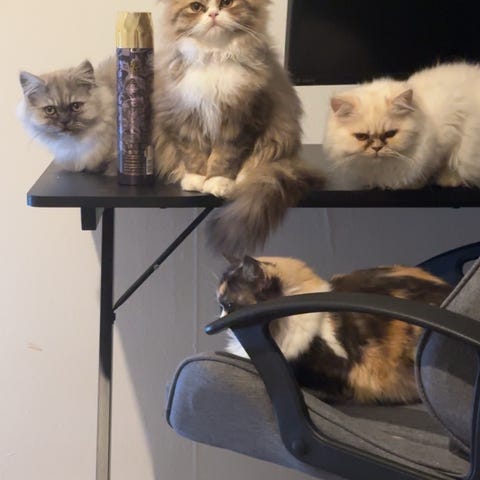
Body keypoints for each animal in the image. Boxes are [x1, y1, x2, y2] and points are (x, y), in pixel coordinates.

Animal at [153, 0, 324, 255]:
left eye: (226, 3)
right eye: (196, 7)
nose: (214, 14)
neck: (214, 56)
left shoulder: (243, 119)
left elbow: (225, 156)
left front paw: (218, 181)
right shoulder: (185, 117)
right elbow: (193, 154)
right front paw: (196, 178)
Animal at [323, 62, 480, 190]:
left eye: (390, 134)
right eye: (361, 137)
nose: (377, 148)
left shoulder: (453, 136)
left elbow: (446, 165)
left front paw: (444, 180)